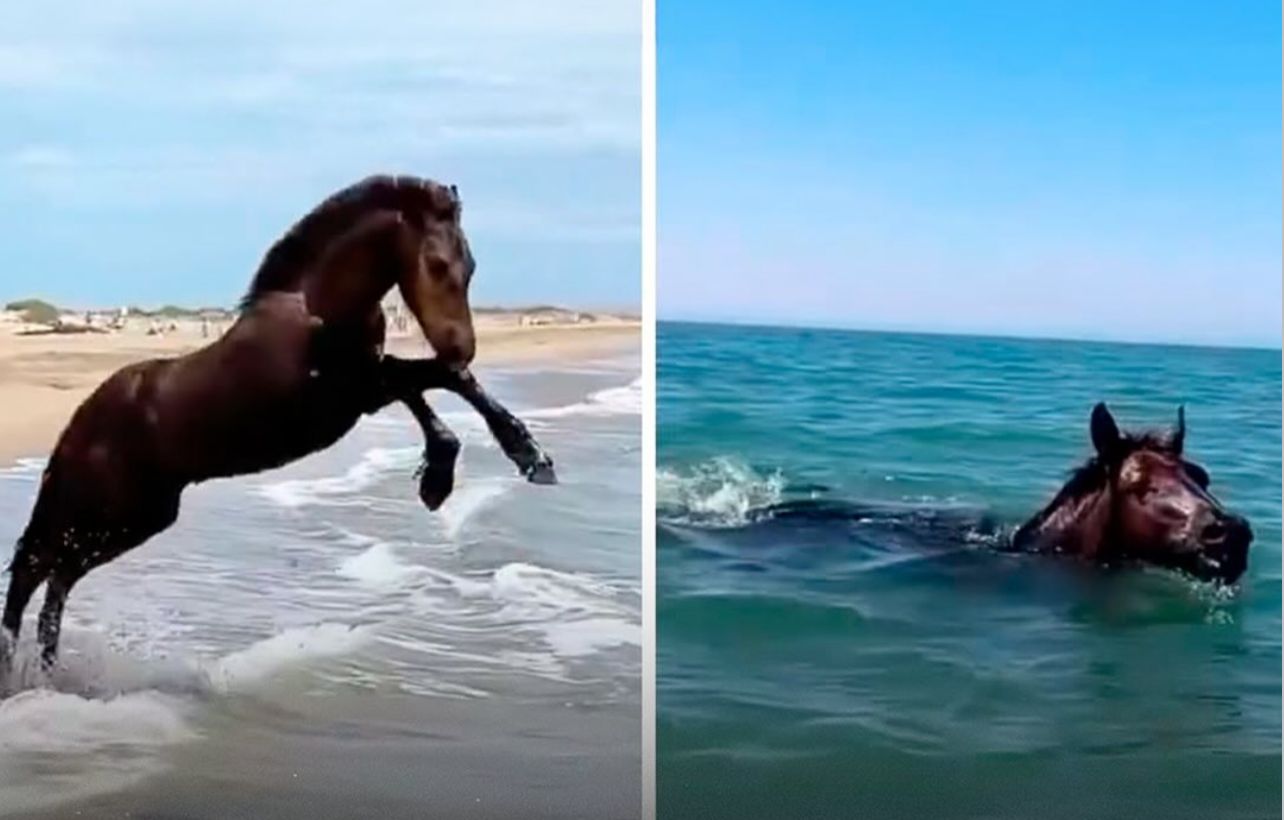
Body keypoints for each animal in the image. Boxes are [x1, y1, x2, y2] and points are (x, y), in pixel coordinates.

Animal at [1, 174, 556, 681]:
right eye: (439, 264)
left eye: (472, 266)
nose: (464, 345)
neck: (315, 304)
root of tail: (79, 421)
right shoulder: (346, 393)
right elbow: (432, 378)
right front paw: (478, 466)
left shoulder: (363, 386)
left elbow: (434, 385)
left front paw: (506, 462)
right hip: (106, 510)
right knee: (34, 570)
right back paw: (18, 668)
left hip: (134, 519)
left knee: (57, 580)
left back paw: (45, 669)